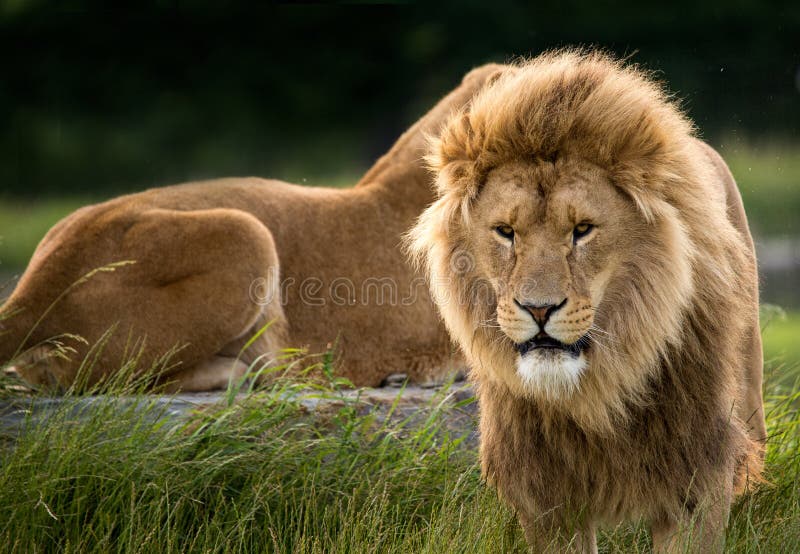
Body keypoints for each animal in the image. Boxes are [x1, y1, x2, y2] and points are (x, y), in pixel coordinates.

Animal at [407, 51, 767, 552]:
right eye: (506, 231)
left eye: (582, 230)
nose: (538, 309)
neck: (597, 392)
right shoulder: (546, 500)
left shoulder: (698, 480)